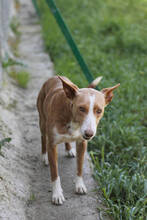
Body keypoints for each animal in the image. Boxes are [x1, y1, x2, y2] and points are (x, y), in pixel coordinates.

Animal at [36, 75, 119, 205]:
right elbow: (55, 174)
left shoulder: (82, 143)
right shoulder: (52, 145)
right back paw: (44, 156)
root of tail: (54, 77)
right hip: (42, 122)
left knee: (67, 140)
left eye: (99, 111)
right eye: (81, 108)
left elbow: (79, 167)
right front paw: (57, 194)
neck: (73, 120)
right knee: (43, 137)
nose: (89, 133)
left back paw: (69, 149)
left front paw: (79, 185)